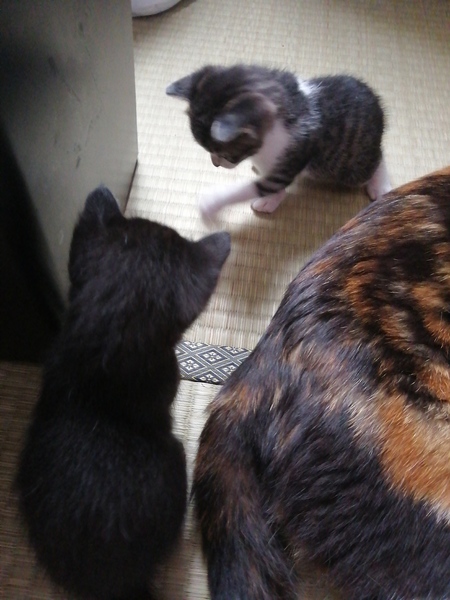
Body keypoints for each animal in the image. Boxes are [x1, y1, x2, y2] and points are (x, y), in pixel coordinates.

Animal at [166, 64, 391, 219]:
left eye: (223, 153)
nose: (215, 164)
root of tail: (379, 109)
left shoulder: (291, 156)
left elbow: (258, 187)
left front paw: (212, 201)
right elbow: (273, 185)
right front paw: (272, 199)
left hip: (349, 165)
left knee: (377, 159)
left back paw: (379, 184)